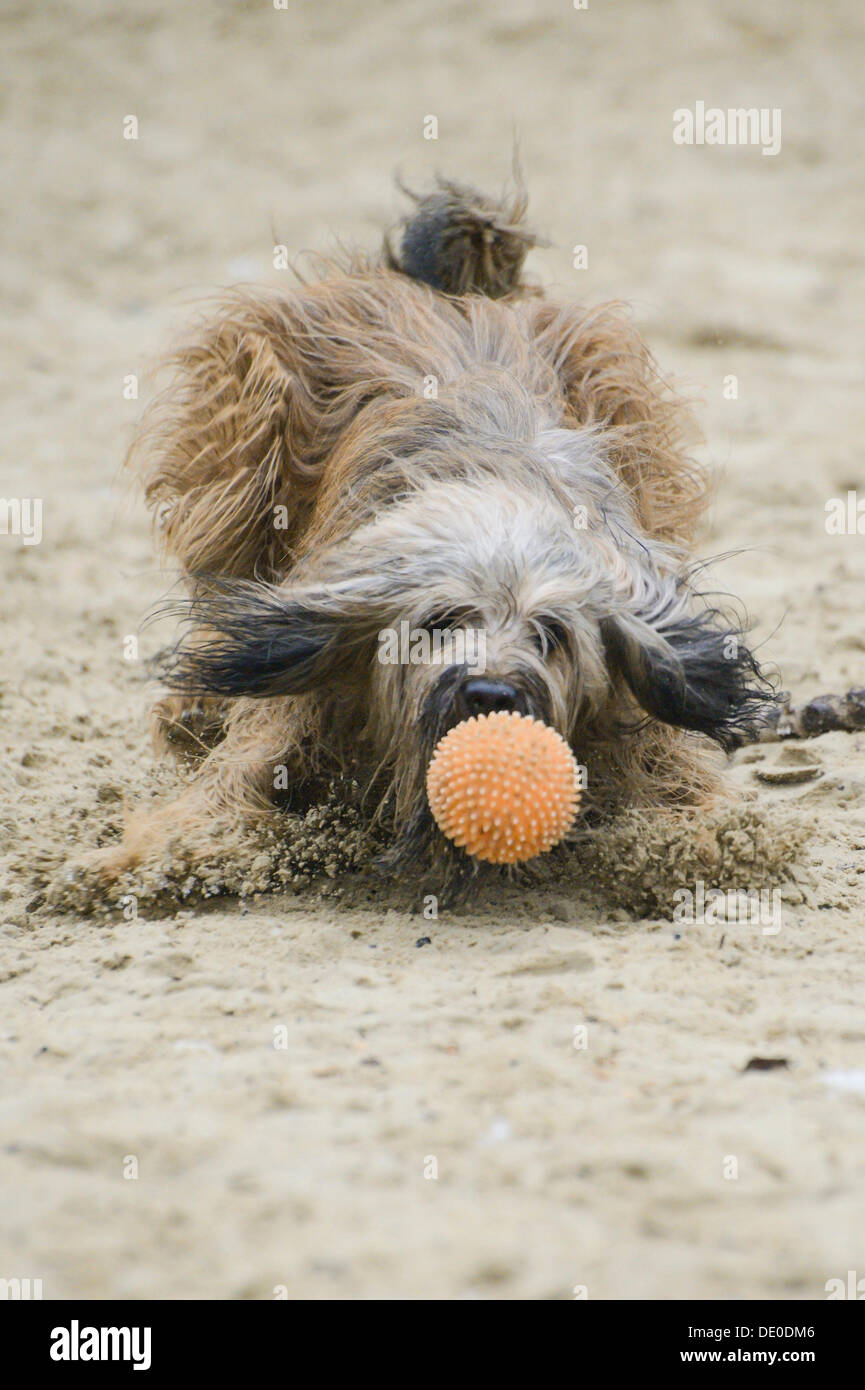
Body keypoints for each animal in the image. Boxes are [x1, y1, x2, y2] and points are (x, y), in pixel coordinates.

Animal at [86, 176, 767, 889]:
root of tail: (457, 291)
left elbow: (682, 781)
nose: (490, 691)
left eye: (552, 636)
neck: (502, 493)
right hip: (245, 452)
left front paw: (711, 837)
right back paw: (191, 710)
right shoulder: (302, 699)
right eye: (439, 623)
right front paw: (147, 856)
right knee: (220, 578)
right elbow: (237, 778)